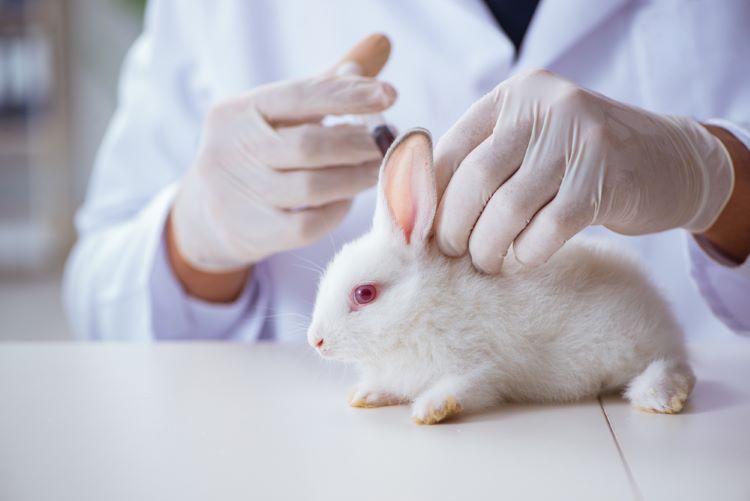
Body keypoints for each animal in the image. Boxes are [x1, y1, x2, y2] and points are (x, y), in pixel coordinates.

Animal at [307, 127, 695, 425]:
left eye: (365, 294)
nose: (316, 341)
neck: (419, 307)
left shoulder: (479, 367)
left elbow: (470, 388)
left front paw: (431, 409)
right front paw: (365, 394)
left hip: (636, 347)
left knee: (675, 367)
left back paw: (662, 398)